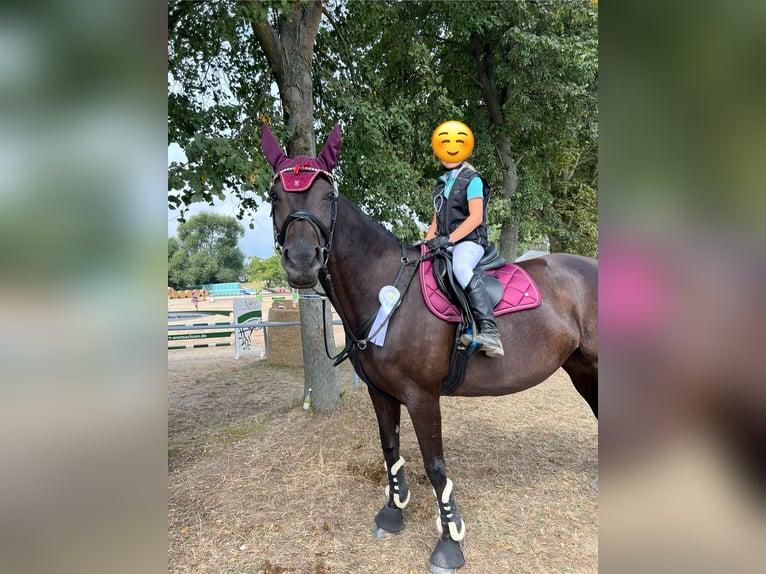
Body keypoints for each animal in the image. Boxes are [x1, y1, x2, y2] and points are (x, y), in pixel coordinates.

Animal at [260, 126, 596, 574]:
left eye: (327, 196)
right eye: (276, 195)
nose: (301, 261)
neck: (386, 289)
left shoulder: (422, 396)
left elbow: (435, 466)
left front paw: (449, 542)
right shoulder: (381, 392)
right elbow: (390, 450)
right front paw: (392, 513)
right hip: (581, 368)